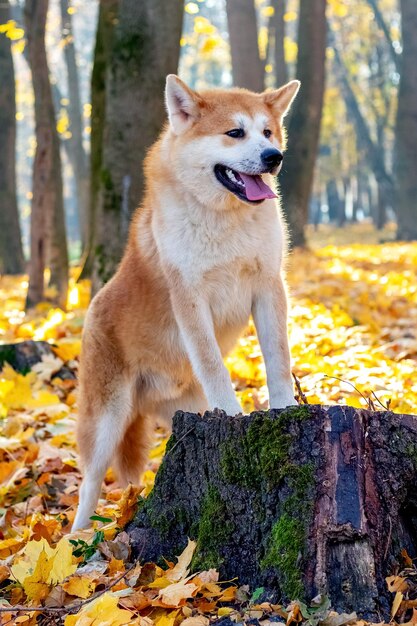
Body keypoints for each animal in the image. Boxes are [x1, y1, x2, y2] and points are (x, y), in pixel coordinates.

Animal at [71, 75, 300, 528]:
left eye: (267, 132)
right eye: (235, 132)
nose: (274, 157)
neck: (226, 221)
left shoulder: (268, 287)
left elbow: (278, 359)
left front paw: (283, 409)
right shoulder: (190, 297)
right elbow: (214, 366)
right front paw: (233, 414)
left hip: (181, 407)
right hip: (106, 421)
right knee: (88, 488)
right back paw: (76, 543)